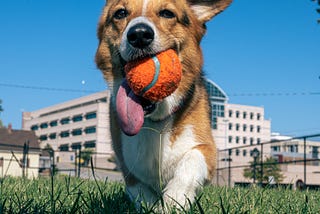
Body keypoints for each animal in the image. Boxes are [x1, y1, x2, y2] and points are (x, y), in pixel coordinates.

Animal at [95, 0, 232, 208]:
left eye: (167, 13)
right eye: (120, 13)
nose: (139, 34)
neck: (155, 121)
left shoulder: (207, 149)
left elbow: (190, 163)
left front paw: (174, 201)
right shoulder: (126, 162)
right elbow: (140, 191)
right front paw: (154, 207)